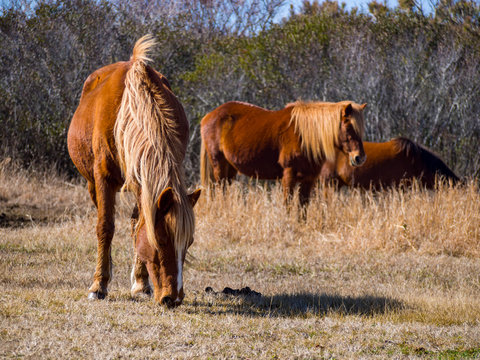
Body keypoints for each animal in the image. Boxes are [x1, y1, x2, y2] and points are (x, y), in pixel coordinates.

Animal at [67, 35, 201, 308]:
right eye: (162, 241)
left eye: (189, 243)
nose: (174, 298)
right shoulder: (103, 179)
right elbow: (105, 227)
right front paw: (99, 285)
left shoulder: (145, 183)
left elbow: (139, 224)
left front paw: (140, 283)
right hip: (92, 184)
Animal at [201, 100, 366, 207]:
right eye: (348, 127)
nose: (360, 157)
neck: (304, 135)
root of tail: (208, 116)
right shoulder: (289, 174)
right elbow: (288, 203)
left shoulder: (309, 178)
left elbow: (303, 206)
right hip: (219, 164)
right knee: (219, 191)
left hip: (231, 168)